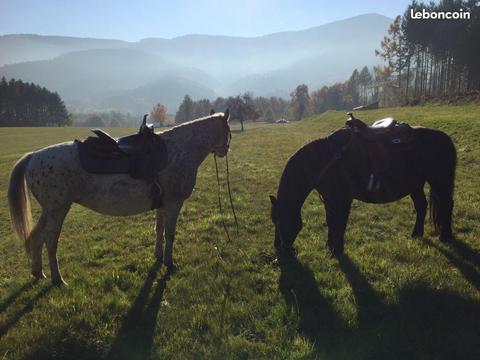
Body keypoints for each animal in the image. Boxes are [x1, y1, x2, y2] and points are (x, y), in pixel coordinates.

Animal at [7, 111, 232, 286]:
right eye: (228, 132)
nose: (224, 151)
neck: (181, 148)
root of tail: (33, 157)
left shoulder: (162, 204)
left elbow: (159, 229)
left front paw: (158, 256)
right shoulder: (174, 203)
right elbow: (170, 233)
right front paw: (169, 263)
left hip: (50, 211)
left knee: (36, 237)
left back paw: (38, 272)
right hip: (57, 211)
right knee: (51, 241)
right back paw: (57, 279)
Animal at [270, 118, 458, 258]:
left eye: (278, 220)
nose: (278, 248)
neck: (328, 159)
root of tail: (444, 137)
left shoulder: (342, 199)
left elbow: (340, 223)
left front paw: (337, 251)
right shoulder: (330, 199)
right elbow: (331, 221)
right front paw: (330, 247)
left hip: (441, 181)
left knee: (447, 205)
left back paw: (445, 235)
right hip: (415, 184)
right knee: (421, 206)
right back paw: (416, 234)